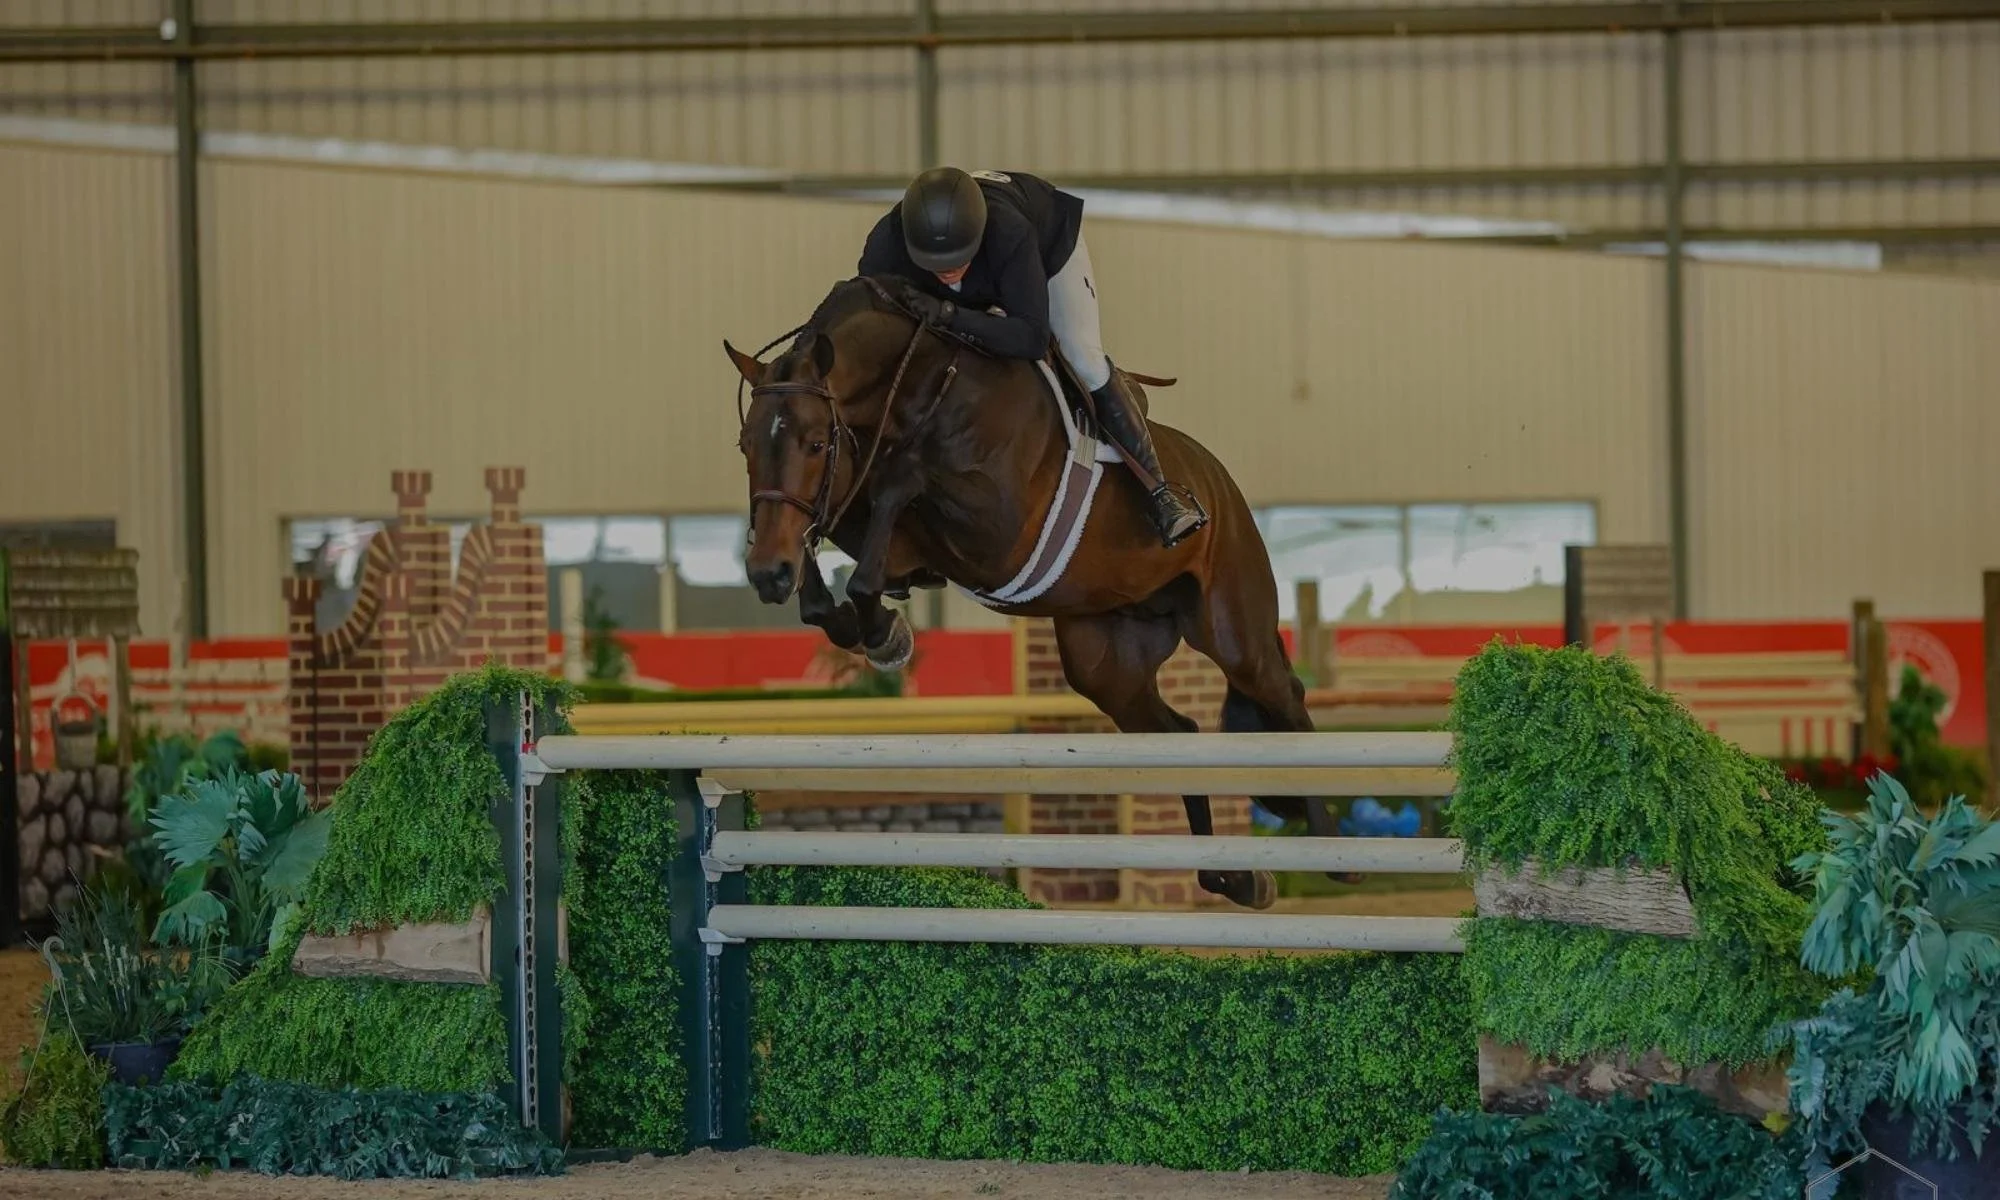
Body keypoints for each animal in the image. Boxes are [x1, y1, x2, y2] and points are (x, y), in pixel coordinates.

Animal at [723, 275, 1335, 910]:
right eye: (746, 445)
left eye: (817, 443)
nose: (765, 573)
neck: (924, 384)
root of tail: (1220, 483)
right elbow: (838, 540)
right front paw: (872, 626)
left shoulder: (996, 526)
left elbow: (900, 481)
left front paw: (882, 629)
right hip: (1107, 662)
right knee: (1177, 732)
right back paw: (1236, 877)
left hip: (1233, 628)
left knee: (1284, 696)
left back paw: (1332, 855)